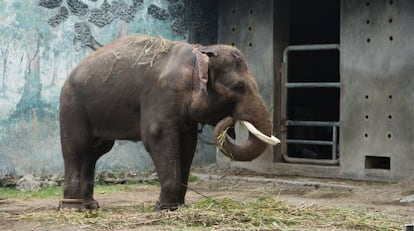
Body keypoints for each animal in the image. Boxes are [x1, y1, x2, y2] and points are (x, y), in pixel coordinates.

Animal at [58, 34, 280, 211]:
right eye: (238, 86)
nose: (231, 119)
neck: (199, 53)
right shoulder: (162, 94)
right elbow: (157, 136)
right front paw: (164, 207)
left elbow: (188, 144)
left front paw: (177, 206)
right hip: (72, 107)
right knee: (76, 148)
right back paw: (72, 207)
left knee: (95, 151)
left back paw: (90, 205)